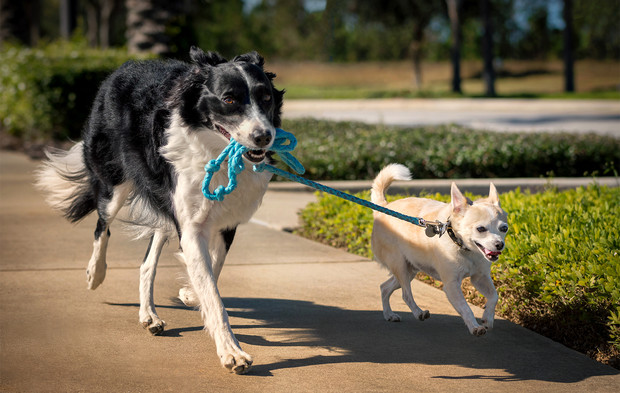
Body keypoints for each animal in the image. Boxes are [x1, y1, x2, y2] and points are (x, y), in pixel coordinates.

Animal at [36, 46, 284, 374]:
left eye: (266, 98)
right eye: (229, 99)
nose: (264, 136)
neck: (213, 148)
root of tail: (123, 68)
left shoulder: (226, 219)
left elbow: (213, 269)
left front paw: (191, 292)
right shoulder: (189, 225)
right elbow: (213, 295)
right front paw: (231, 351)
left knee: (146, 263)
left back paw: (148, 315)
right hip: (115, 182)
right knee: (102, 226)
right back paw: (96, 273)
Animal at [370, 164, 506, 336]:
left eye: (504, 228)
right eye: (480, 229)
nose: (499, 244)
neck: (465, 249)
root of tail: (384, 207)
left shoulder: (479, 278)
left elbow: (494, 296)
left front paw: (487, 318)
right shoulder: (451, 285)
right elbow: (466, 308)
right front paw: (475, 327)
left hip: (410, 269)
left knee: (385, 287)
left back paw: (389, 314)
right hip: (399, 265)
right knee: (406, 294)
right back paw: (418, 312)